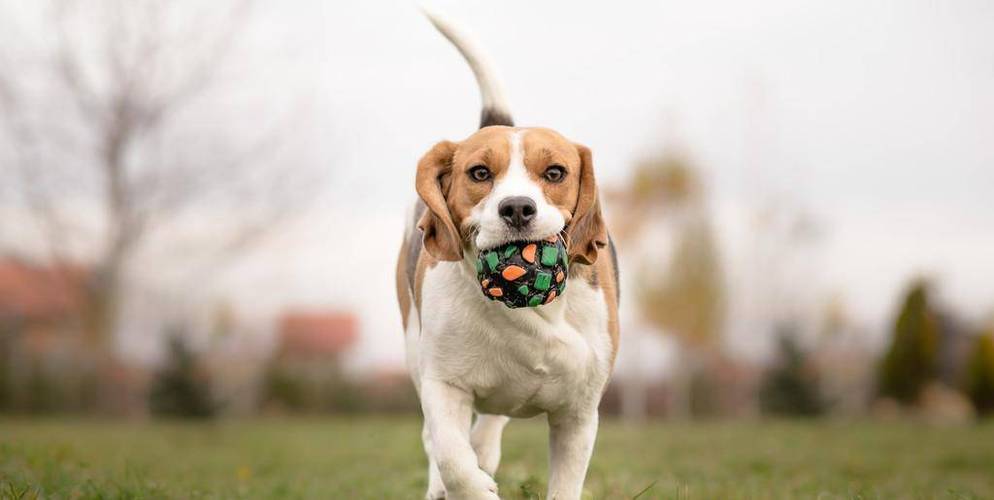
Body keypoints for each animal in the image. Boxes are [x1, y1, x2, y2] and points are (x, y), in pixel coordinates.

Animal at [394, 8, 612, 500]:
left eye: (556, 172)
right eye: (479, 173)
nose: (516, 208)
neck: (530, 315)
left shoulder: (578, 414)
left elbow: (565, 482)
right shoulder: (443, 384)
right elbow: (453, 460)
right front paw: (474, 487)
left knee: (491, 421)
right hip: (414, 347)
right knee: (436, 440)